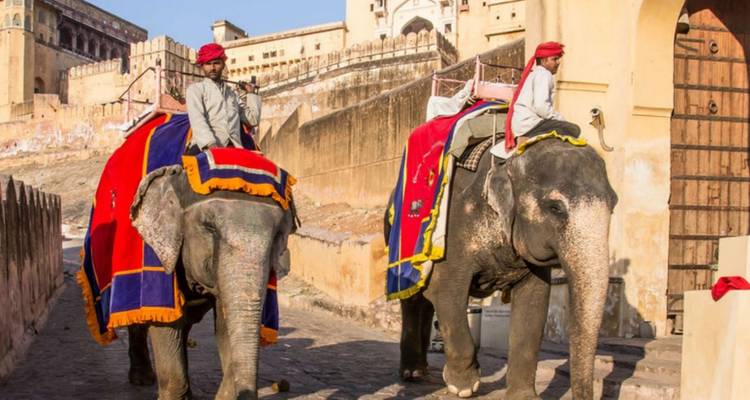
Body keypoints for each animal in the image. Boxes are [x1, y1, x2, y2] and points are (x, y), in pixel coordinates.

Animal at [126, 164, 296, 400]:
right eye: (210, 227)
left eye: (279, 234)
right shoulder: (158, 255)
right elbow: (165, 321)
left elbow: (225, 327)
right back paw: (142, 379)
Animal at [385, 138, 618, 399]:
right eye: (555, 207)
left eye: (614, 204)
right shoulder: (453, 230)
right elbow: (445, 292)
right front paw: (463, 386)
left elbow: (534, 304)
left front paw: (524, 397)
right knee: (414, 298)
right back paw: (413, 373)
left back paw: (422, 371)